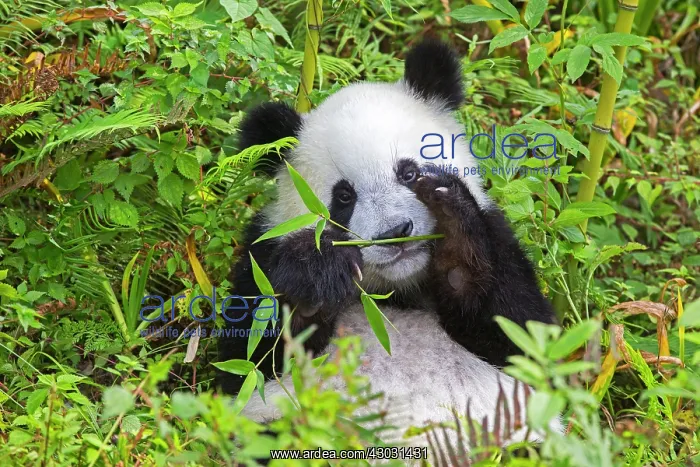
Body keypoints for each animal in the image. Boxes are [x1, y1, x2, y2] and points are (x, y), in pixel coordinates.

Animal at [217, 39, 561, 449]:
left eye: (409, 172)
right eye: (344, 197)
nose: (394, 231)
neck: (395, 291)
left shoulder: (498, 236)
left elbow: (523, 337)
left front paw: (453, 230)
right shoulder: (263, 253)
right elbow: (251, 361)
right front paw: (317, 270)